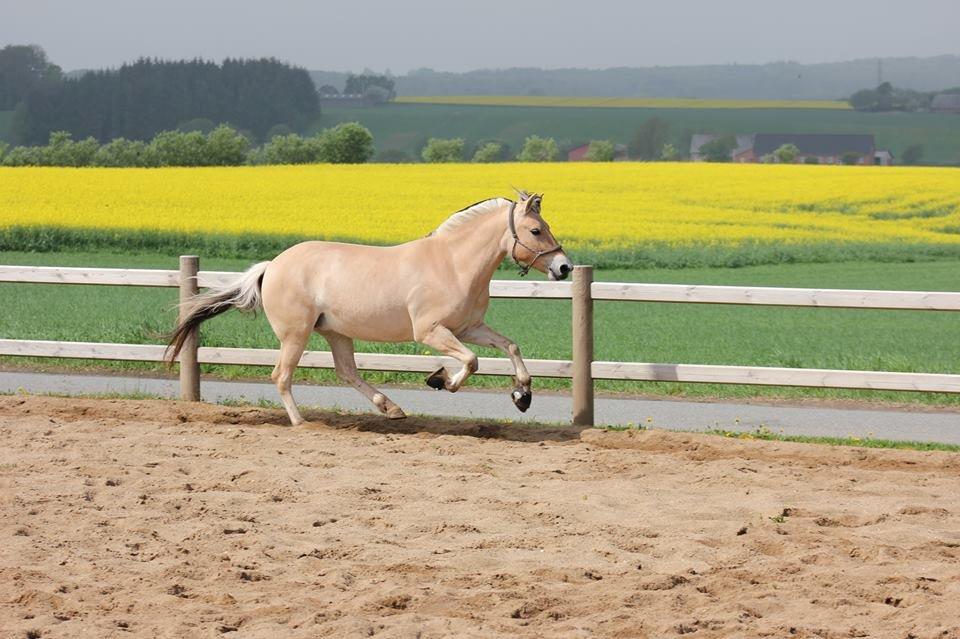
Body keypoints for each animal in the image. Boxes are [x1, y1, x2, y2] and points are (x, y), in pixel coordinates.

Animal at [164, 192, 568, 428]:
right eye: (535, 231)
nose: (563, 267)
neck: (453, 264)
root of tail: (272, 266)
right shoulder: (431, 332)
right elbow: (471, 362)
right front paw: (439, 379)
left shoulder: (469, 328)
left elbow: (510, 346)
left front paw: (522, 396)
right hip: (296, 334)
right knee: (281, 375)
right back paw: (302, 423)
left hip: (335, 331)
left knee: (346, 371)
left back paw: (390, 408)